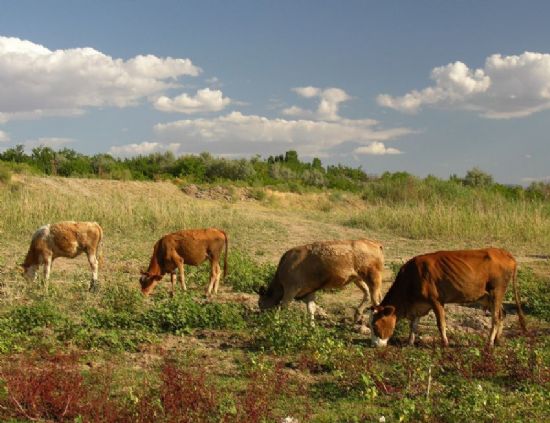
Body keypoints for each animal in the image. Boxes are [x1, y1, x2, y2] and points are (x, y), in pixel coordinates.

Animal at [368, 248, 528, 348]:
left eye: (375, 325)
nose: (374, 344)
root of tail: (504, 253)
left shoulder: (436, 301)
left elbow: (441, 324)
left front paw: (445, 343)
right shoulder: (419, 305)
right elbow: (413, 325)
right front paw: (410, 342)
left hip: (497, 292)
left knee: (495, 318)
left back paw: (489, 343)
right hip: (488, 297)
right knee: (502, 314)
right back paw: (498, 340)